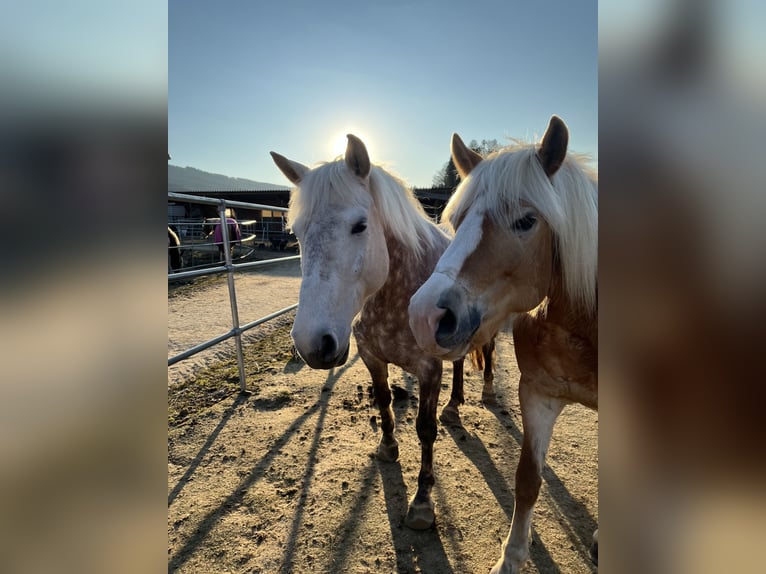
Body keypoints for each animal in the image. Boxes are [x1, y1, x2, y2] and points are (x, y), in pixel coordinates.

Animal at [272, 135, 496, 532]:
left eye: (360, 225)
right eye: (297, 233)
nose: (312, 343)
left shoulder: (428, 370)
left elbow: (425, 429)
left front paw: (422, 502)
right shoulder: (371, 357)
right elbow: (383, 401)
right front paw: (388, 448)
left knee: (490, 354)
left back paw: (485, 392)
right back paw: (454, 407)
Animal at [412, 115, 596, 572]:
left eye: (526, 221)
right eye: (457, 221)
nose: (425, 316)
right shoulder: (538, 395)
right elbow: (527, 479)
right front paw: (511, 557)